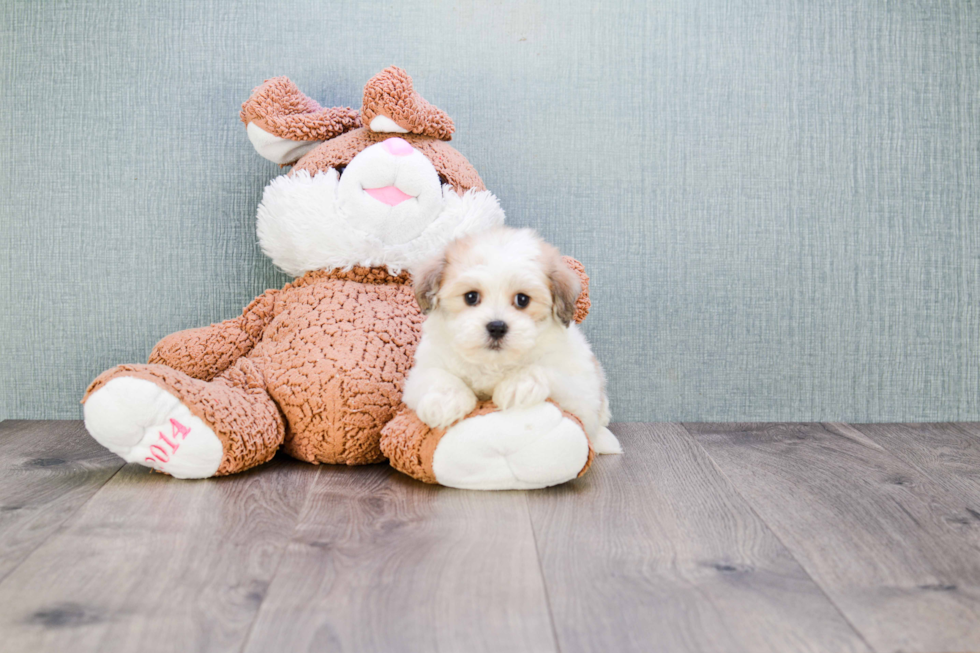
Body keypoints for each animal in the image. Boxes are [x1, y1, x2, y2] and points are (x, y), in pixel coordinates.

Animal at [402, 227, 624, 456]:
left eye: (522, 300)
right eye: (471, 297)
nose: (497, 327)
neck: (494, 363)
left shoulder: (580, 385)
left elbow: (547, 370)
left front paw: (518, 385)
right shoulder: (424, 368)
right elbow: (436, 375)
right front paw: (446, 402)